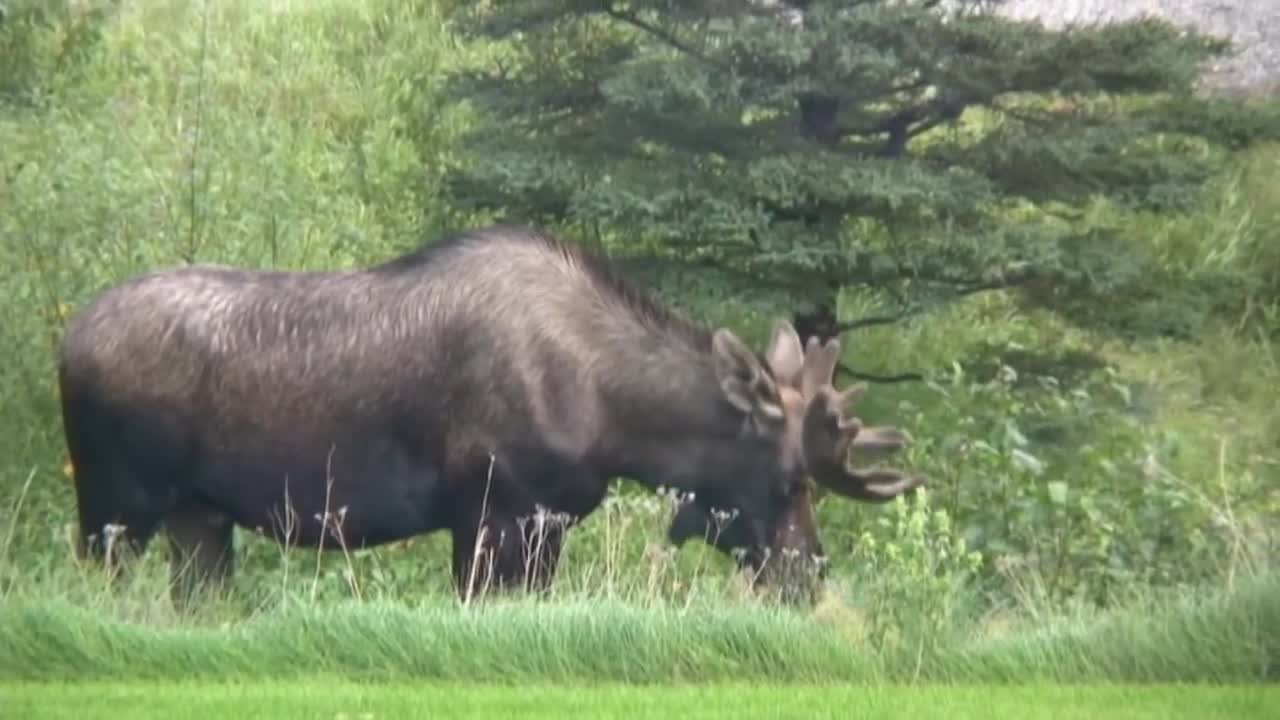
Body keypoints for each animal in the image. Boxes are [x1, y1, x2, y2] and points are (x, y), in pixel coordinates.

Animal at [60, 221, 926, 602]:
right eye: (788, 483)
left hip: (199, 518)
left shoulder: (543, 527)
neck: (615, 422)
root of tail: (63, 344)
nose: (810, 577)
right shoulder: (492, 516)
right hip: (114, 508)